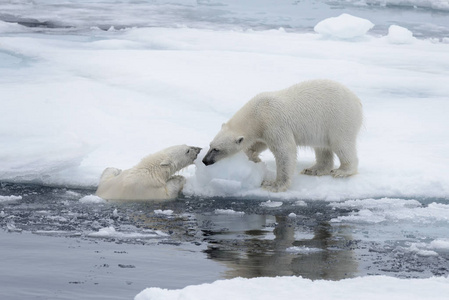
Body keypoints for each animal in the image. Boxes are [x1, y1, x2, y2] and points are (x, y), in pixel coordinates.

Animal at [201, 79, 362, 192]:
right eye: (210, 145)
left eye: (217, 149)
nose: (205, 161)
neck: (258, 112)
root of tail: (357, 100)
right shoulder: (263, 130)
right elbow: (259, 144)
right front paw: (254, 158)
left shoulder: (275, 123)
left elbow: (285, 151)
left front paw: (273, 184)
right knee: (322, 148)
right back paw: (313, 169)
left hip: (339, 119)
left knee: (341, 144)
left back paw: (342, 171)